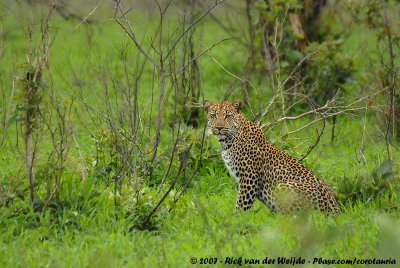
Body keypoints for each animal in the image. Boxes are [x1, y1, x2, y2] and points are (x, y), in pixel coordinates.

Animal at [205, 99, 340, 215]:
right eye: (213, 115)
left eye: (228, 116)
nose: (219, 127)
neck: (227, 141)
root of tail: (336, 210)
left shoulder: (250, 176)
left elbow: (242, 203)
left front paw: (235, 218)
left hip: (282, 187)